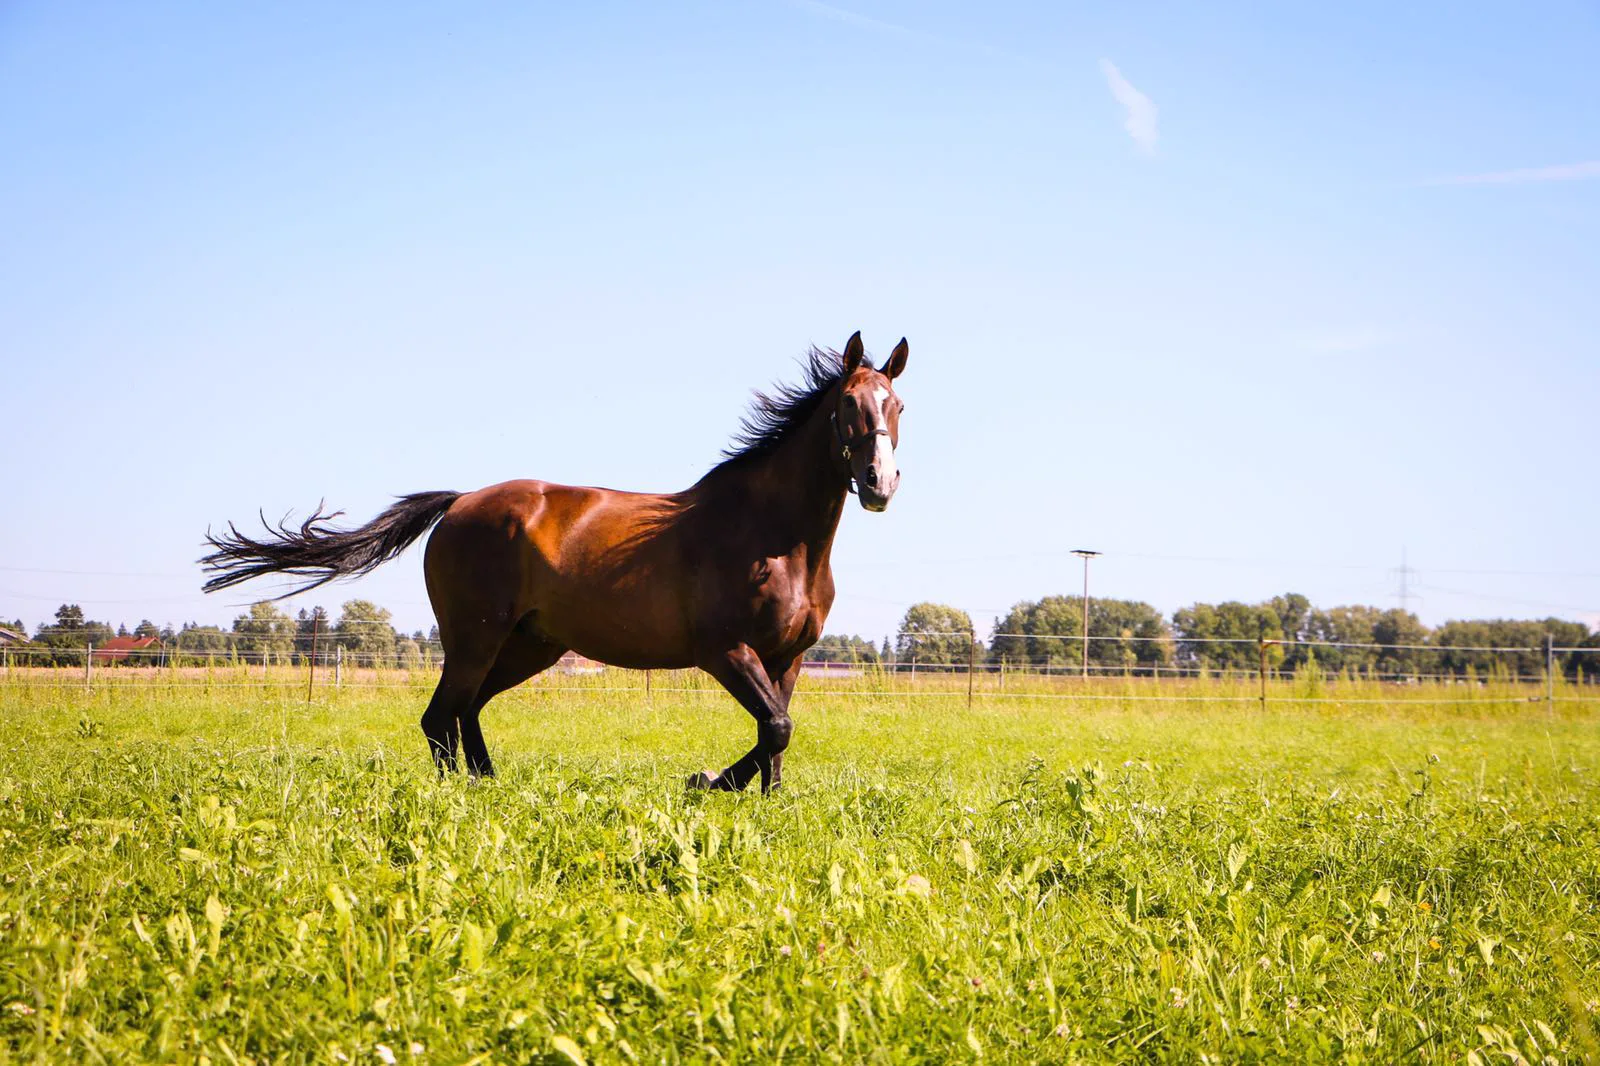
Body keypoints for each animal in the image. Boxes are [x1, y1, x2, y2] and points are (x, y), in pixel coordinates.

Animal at [199, 331, 908, 793]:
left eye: (898, 406)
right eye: (847, 405)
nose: (879, 483)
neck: (774, 537)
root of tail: (459, 502)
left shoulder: (787, 658)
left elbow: (774, 738)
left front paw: (753, 798)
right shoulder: (724, 650)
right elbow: (776, 730)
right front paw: (705, 780)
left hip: (527, 644)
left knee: (466, 709)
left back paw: (488, 783)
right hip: (477, 636)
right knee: (441, 714)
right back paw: (463, 793)